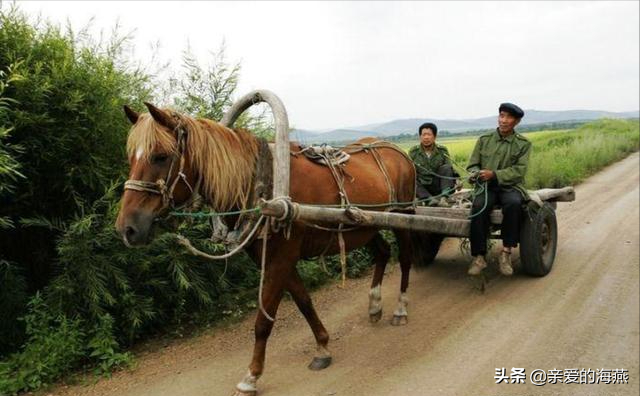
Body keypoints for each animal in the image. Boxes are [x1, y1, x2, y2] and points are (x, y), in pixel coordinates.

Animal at [115, 103, 420, 396]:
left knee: (405, 259)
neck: (261, 186)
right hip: (365, 225)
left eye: (161, 156)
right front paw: (322, 346)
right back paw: (375, 305)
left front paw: (251, 376)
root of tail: (396, 152)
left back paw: (400, 310)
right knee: (383, 252)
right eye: (131, 158)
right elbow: (304, 302)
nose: (127, 228)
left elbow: (263, 321)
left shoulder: (281, 257)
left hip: (402, 215)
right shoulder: (275, 259)